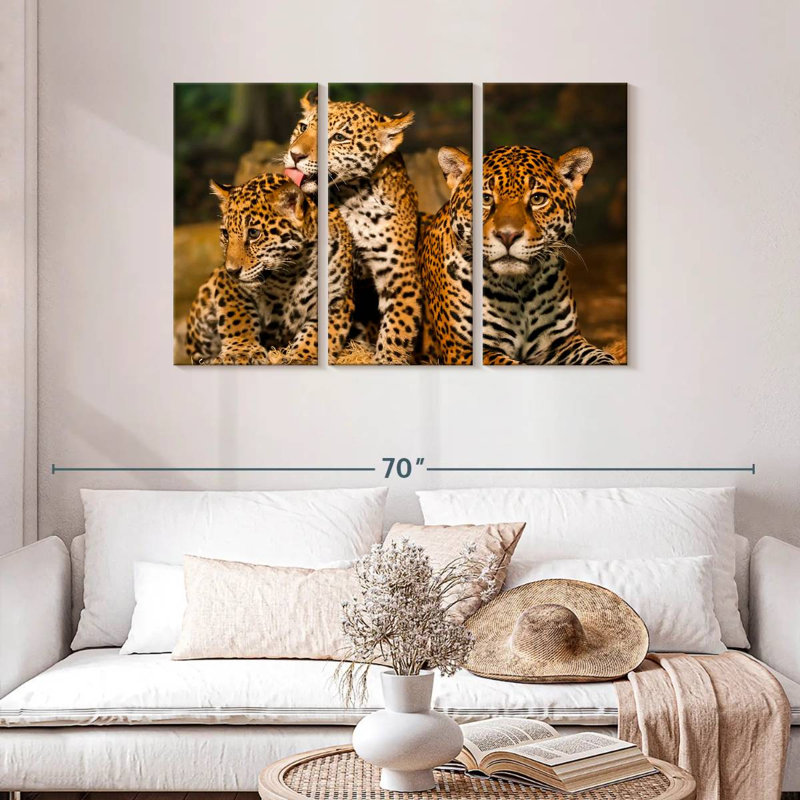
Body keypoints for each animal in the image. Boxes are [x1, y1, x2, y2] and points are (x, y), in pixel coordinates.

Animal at [186, 172, 354, 365]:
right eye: (226, 234)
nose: (232, 271)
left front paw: (303, 357)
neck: (291, 272)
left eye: (253, 233)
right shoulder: (228, 285)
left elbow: (317, 333)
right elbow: (237, 317)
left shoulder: (337, 298)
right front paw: (241, 352)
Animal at [283, 91, 422, 364]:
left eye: (338, 138)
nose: (294, 155)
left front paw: (386, 359)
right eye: (303, 127)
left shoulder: (401, 277)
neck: (350, 196)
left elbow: (396, 331)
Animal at [482, 145, 618, 365]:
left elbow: (600, 356)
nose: (507, 235)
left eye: (538, 199)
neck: (519, 287)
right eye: (486, 199)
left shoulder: (564, 342)